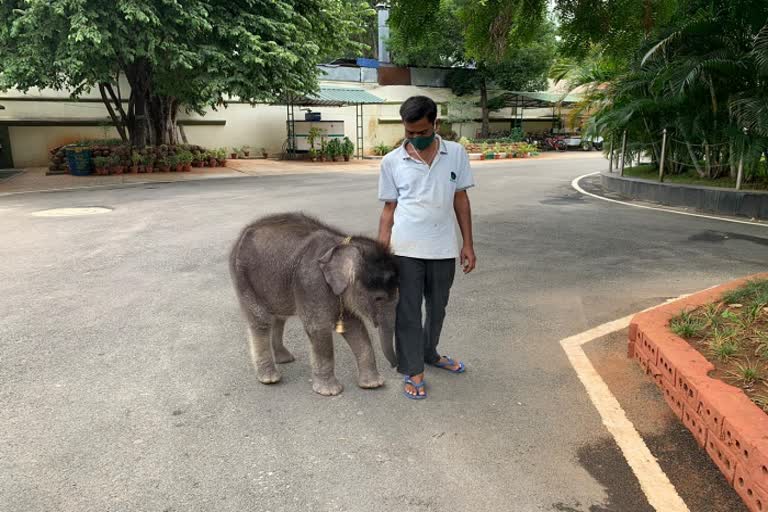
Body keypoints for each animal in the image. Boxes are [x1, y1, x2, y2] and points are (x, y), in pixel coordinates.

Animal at [228, 212, 400, 396]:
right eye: (378, 298)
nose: (395, 367)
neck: (341, 244)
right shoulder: (312, 283)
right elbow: (318, 328)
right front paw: (330, 392)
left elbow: (355, 327)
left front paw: (373, 385)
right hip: (243, 277)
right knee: (261, 321)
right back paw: (270, 378)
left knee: (279, 319)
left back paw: (285, 359)